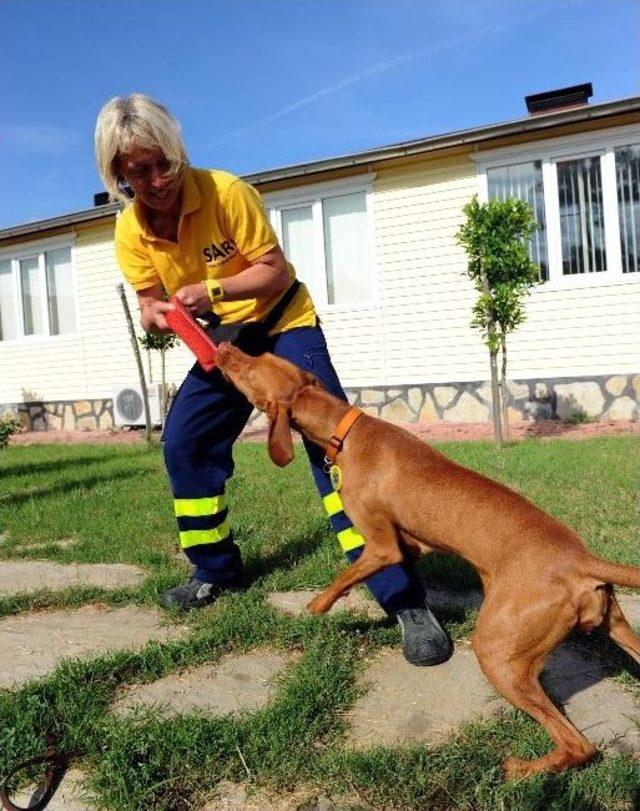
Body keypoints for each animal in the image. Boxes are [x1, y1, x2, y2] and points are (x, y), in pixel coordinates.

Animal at [216, 340, 640, 776]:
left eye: (251, 369)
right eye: (262, 356)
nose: (225, 346)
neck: (346, 429)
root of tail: (581, 560)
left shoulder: (383, 546)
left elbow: (344, 576)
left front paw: (318, 605)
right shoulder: (410, 546)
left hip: (498, 652)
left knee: (579, 745)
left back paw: (521, 769)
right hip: (617, 626)